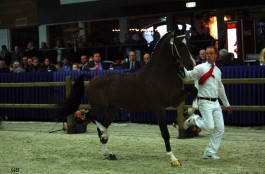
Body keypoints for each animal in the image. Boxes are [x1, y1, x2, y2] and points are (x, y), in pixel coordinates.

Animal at [57, 25, 196, 167]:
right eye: (180, 44)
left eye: (189, 43)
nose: (191, 64)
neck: (160, 74)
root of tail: (92, 78)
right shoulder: (159, 108)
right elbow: (165, 134)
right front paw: (173, 159)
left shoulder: (174, 100)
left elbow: (193, 90)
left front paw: (190, 111)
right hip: (100, 107)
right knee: (91, 117)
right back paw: (105, 136)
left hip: (112, 110)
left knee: (100, 127)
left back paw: (108, 154)